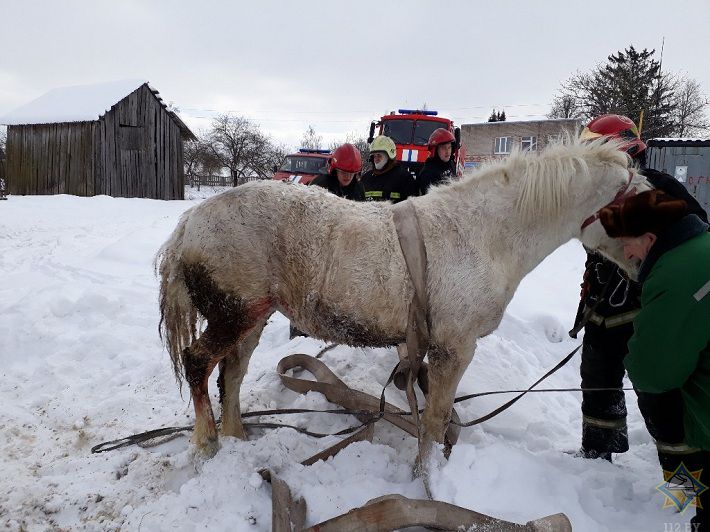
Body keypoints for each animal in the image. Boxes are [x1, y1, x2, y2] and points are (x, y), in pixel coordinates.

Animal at [159, 139, 644, 468]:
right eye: (643, 204)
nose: (643, 267)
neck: (482, 235)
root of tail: (190, 223)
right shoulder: (454, 348)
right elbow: (435, 419)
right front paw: (429, 474)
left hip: (252, 316)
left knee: (232, 374)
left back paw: (237, 436)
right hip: (234, 314)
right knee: (199, 363)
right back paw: (208, 443)